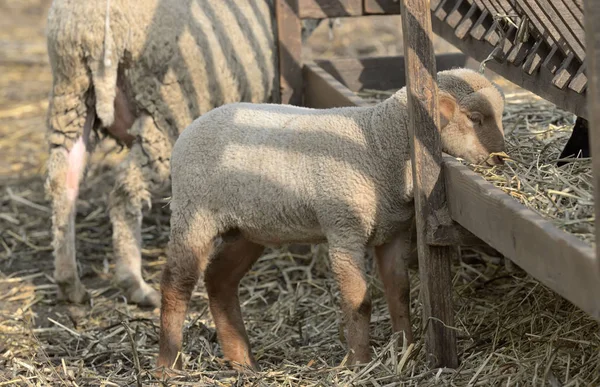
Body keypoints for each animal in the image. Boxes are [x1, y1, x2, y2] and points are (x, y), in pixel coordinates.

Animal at [45, 0, 278, 310]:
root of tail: (97, 27)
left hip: (72, 94)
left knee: (63, 184)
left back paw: (69, 282)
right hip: (167, 109)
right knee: (125, 192)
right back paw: (136, 284)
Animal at [157, 67, 504, 372]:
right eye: (475, 118)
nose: (501, 159)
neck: (378, 141)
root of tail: (192, 126)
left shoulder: (391, 232)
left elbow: (399, 292)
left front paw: (404, 350)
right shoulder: (344, 228)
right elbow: (359, 301)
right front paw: (360, 363)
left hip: (247, 228)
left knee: (219, 279)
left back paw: (242, 363)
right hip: (194, 212)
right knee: (176, 283)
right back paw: (169, 367)